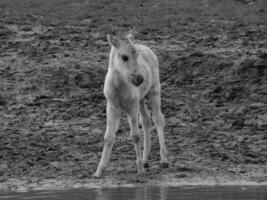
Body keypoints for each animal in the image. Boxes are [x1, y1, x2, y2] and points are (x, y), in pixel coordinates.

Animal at [93, 34, 169, 178]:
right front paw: (98, 171)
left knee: (158, 119)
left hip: (154, 91)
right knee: (146, 120)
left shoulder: (131, 107)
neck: (119, 86)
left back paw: (164, 160)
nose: (139, 79)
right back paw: (145, 160)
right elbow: (108, 137)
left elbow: (135, 136)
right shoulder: (112, 107)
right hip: (140, 99)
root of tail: (146, 47)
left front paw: (140, 170)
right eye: (124, 57)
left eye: (137, 55)